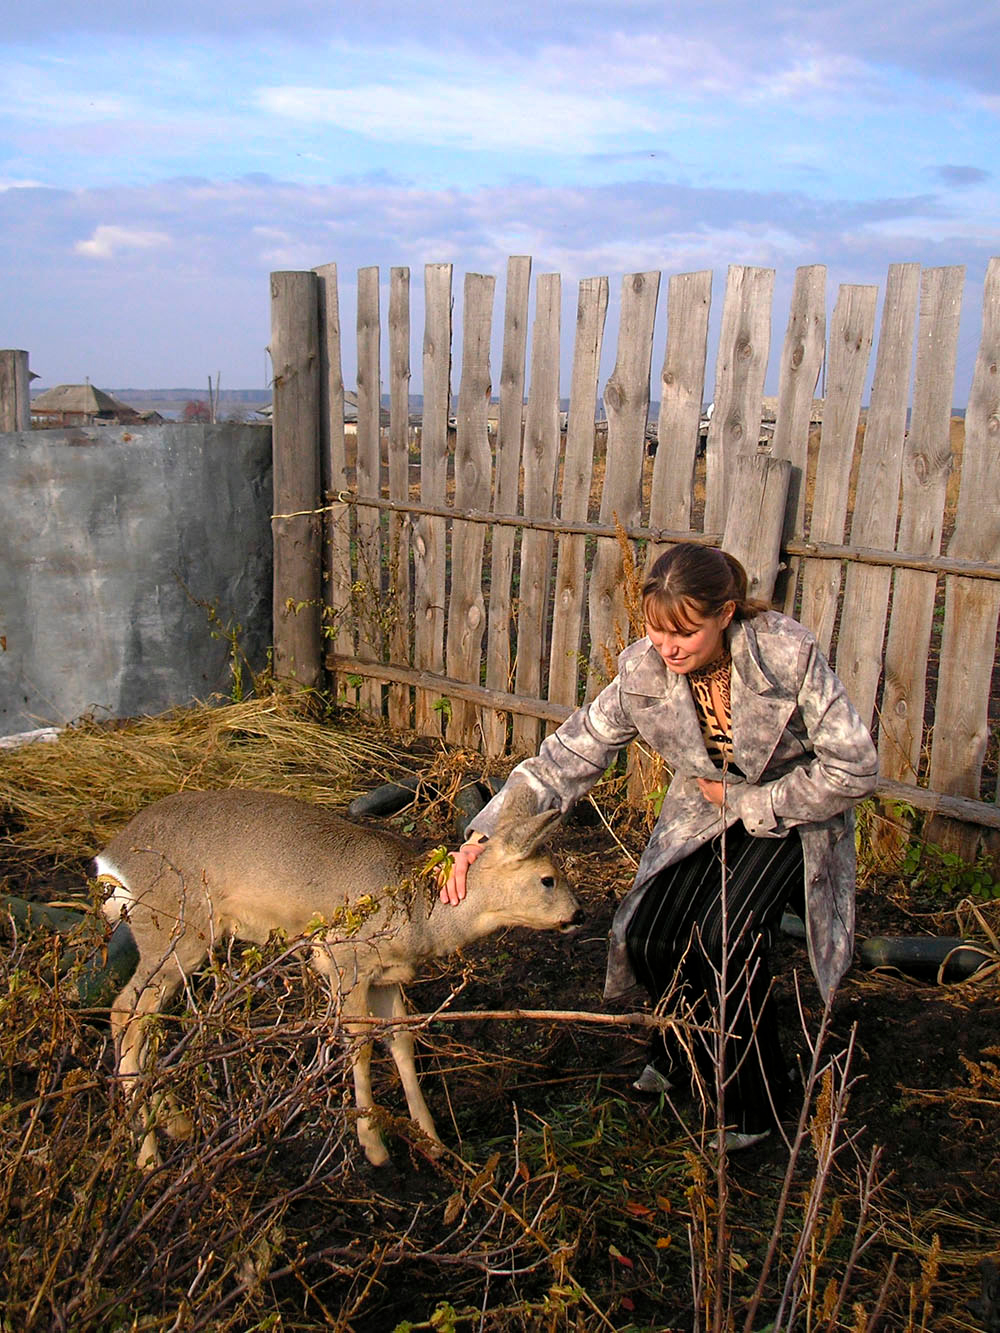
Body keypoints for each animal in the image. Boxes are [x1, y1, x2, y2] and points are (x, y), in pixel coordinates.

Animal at [98, 789, 584, 1167]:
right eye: (548, 879)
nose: (578, 914)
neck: (419, 918)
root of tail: (110, 861)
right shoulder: (343, 960)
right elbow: (360, 1048)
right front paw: (374, 1146)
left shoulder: (387, 976)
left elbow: (402, 1042)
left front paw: (432, 1140)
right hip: (174, 932)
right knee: (123, 1012)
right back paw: (146, 1153)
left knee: (146, 1023)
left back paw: (173, 1123)